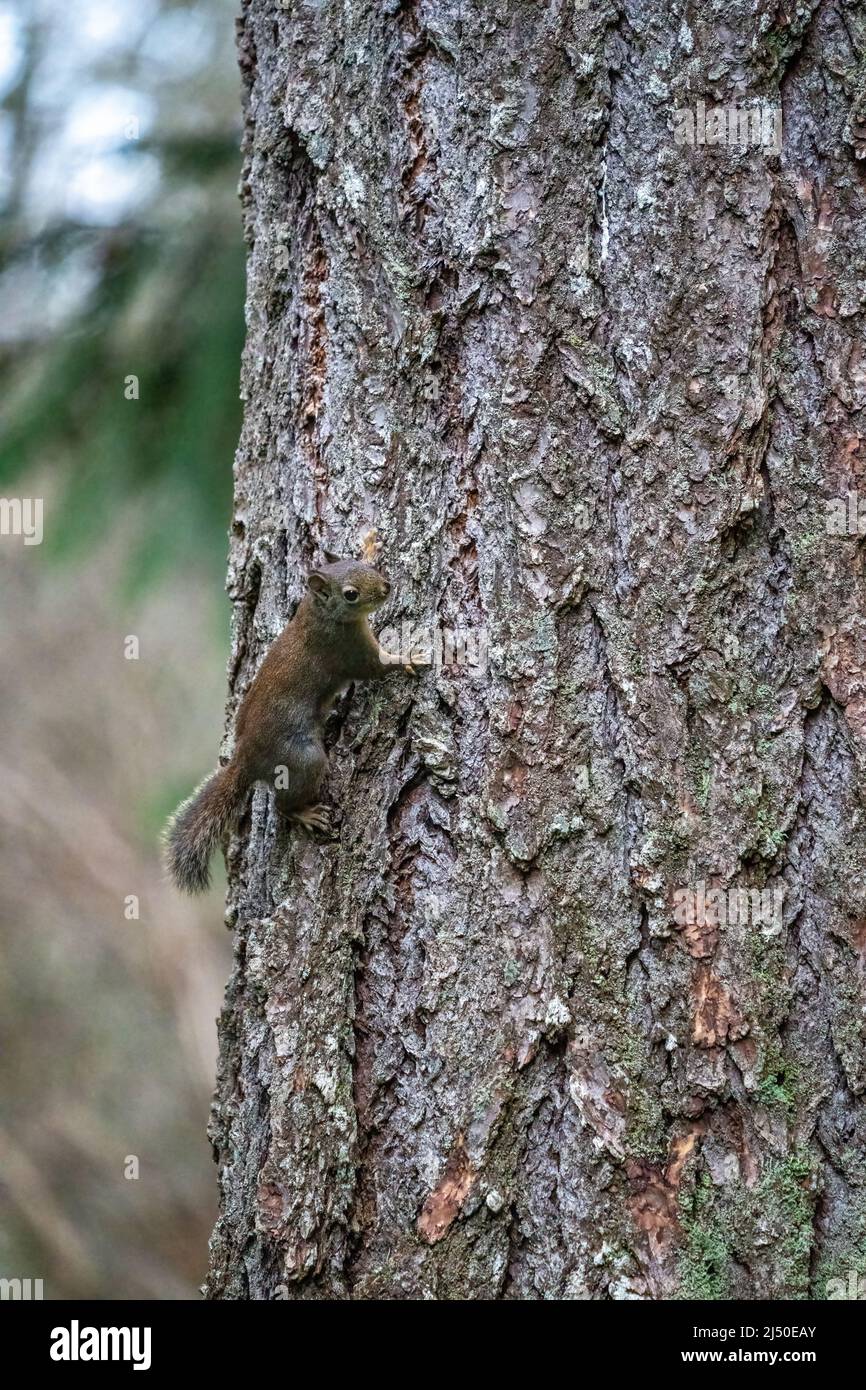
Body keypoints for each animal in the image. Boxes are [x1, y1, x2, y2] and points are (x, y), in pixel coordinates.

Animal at [164, 553, 428, 889]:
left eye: (361, 564)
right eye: (351, 594)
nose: (386, 587)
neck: (316, 613)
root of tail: (245, 760)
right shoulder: (347, 650)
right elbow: (377, 666)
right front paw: (409, 659)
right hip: (303, 760)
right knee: (283, 806)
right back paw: (306, 815)